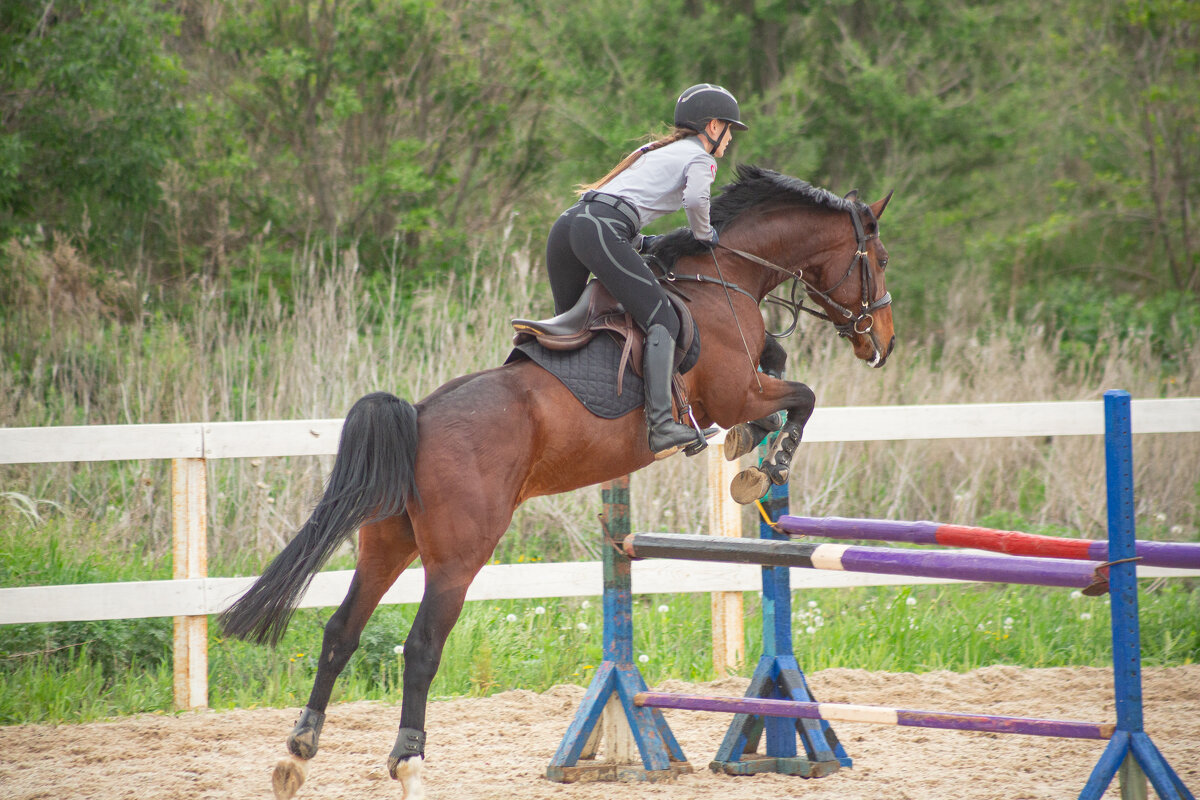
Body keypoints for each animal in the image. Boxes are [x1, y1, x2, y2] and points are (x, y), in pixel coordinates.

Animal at [218, 164, 892, 800]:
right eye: (880, 261)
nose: (880, 345)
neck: (723, 276)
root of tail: (419, 415)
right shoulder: (736, 392)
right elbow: (802, 396)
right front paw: (765, 467)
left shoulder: (746, 388)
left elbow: (781, 375)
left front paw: (751, 448)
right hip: (458, 556)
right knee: (420, 648)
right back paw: (408, 763)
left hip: (387, 541)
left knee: (341, 631)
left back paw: (296, 755)